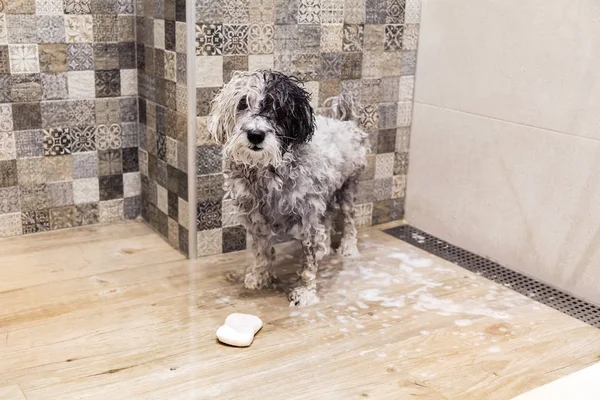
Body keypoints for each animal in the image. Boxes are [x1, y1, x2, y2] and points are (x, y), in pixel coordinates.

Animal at [211, 69, 370, 306]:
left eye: (278, 107)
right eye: (242, 103)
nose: (255, 135)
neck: (268, 172)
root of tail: (346, 122)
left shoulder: (308, 218)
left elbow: (308, 262)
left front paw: (305, 292)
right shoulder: (256, 218)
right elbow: (261, 251)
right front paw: (260, 276)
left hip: (348, 186)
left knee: (350, 219)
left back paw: (348, 247)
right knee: (329, 216)